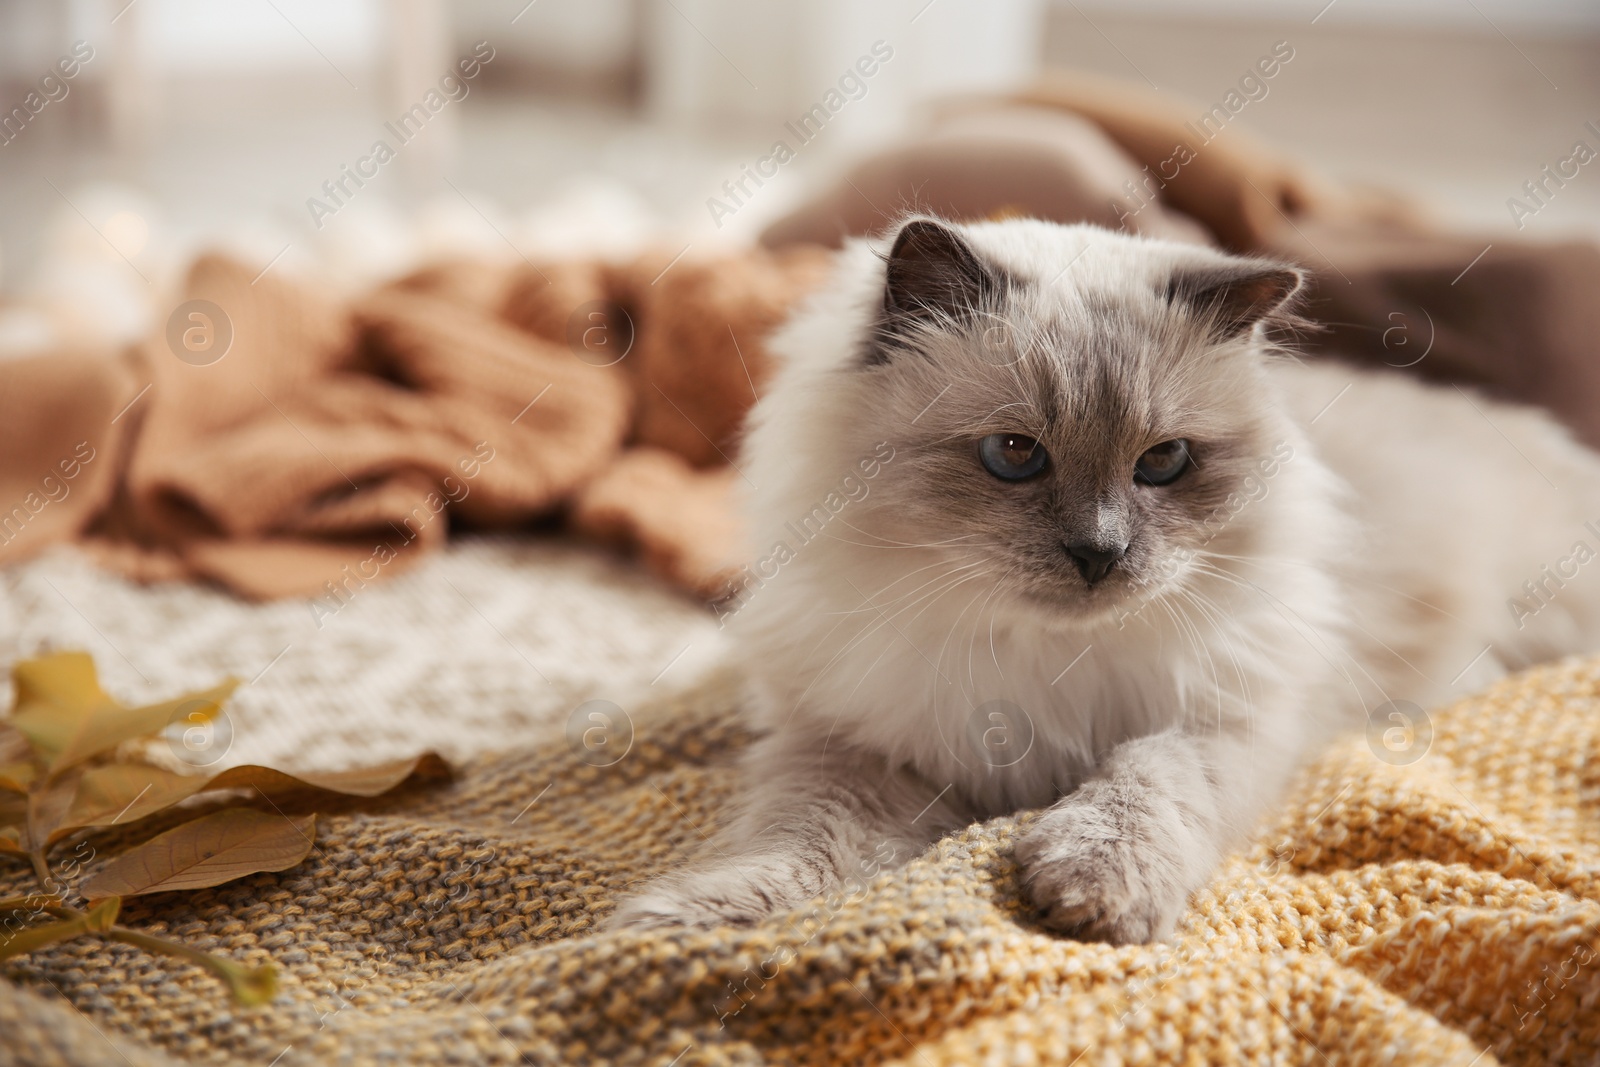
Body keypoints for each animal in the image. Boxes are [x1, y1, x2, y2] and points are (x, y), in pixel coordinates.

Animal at [608, 214, 1600, 940]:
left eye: (1163, 462)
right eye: (1014, 454)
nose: (1100, 552)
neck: (1038, 658)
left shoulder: (1221, 720)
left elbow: (1142, 781)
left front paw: (1093, 889)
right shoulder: (854, 744)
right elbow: (801, 840)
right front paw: (683, 923)